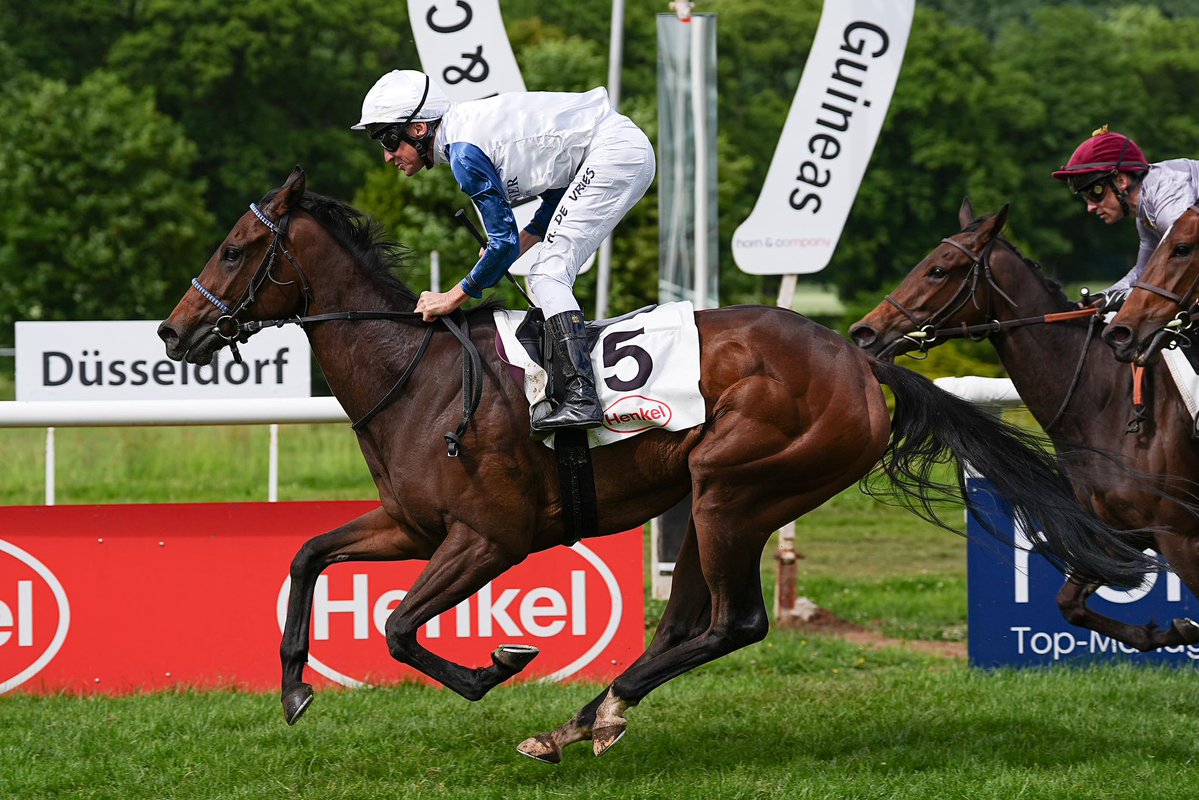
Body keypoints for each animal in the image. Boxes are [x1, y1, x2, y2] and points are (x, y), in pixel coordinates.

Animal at [159, 169, 1155, 764]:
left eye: (237, 249)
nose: (174, 331)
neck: (422, 377)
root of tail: (857, 359)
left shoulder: (489, 540)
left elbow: (400, 627)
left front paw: (498, 665)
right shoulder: (411, 525)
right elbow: (306, 558)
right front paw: (294, 689)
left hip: (734, 487)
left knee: (734, 623)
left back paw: (589, 714)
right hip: (722, 503)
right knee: (688, 623)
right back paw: (587, 714)